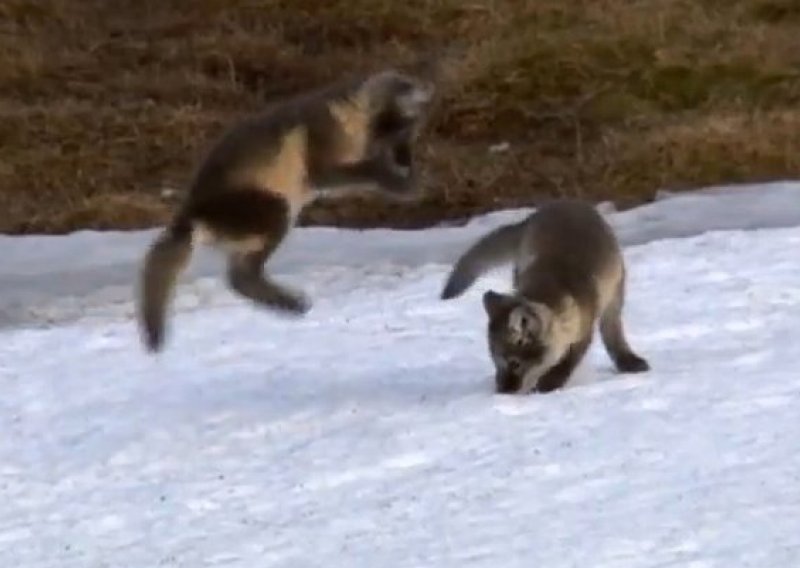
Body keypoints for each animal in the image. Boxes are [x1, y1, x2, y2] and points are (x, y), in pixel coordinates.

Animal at [138, 66, 438, 350]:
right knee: (240, 277)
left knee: (239, 276)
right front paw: (401, 184)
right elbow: (362, 170)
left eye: (408, 139)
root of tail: (190, 214)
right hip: (275, 210)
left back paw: (285, 303)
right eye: (398, 136)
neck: (350, 120)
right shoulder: (321, 155)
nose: (407, 164)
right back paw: (292, 304)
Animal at [438, 200, 648, 394]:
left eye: (514, 363)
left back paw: (628, 361)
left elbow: (565, 365)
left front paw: (547, 386)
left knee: (613, 333)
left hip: (614, 296)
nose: (502, 392)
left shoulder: (584, 331)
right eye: (495, 362)